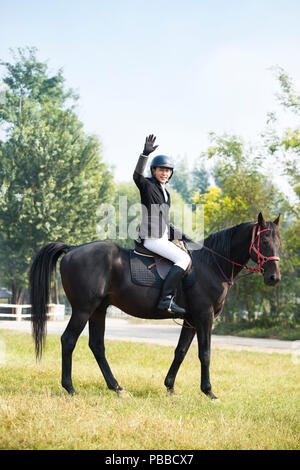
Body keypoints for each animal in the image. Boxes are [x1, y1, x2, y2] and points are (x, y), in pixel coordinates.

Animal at [29, 214, 280, 400]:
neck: (211, 264)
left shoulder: (191, 319)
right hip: (83, 309)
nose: (274, 278)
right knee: (69, 340)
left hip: (98, 310)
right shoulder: (204, 316)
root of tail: (72, 249)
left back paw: (118, 388)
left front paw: (170, 387)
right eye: (264, 242)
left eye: (279, 243)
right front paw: (209, 392)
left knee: (97, 346)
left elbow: (181, 351)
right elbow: (205, 353)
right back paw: (70, 388)